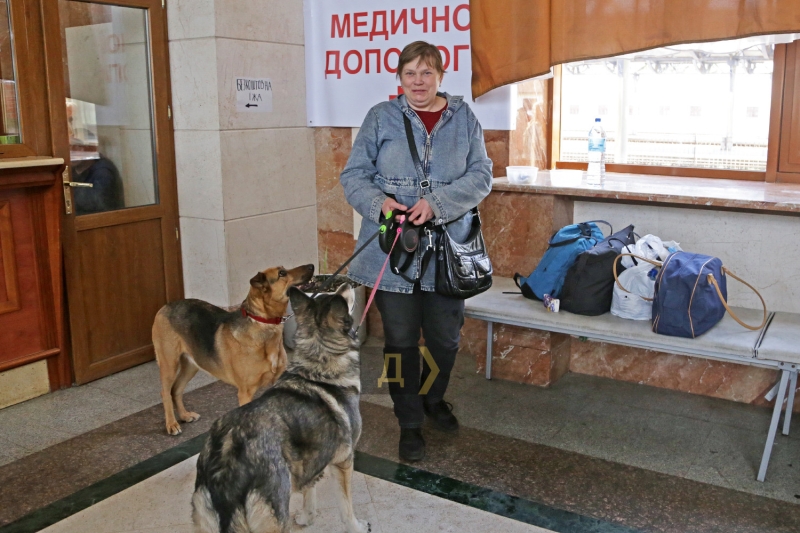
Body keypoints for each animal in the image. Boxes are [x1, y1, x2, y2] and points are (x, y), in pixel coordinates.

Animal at [152, 264, 314, 434]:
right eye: (282, 273)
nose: (312, 266)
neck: (262, 323)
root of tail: (166, 306)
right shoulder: (245, 393)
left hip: (191, 364)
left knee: (176, 389)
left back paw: (184, 415)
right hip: (169, 364)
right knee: (165, 391)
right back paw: (171, 424)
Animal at [192, 282, 370, 532]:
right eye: (341, 297)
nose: (346, 283)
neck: (319, 367)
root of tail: (225, 462)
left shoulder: (310, 461)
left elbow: (309, 493)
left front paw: (307, 518)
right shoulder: (344, 462)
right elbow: (346, 507)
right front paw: (357, 526)